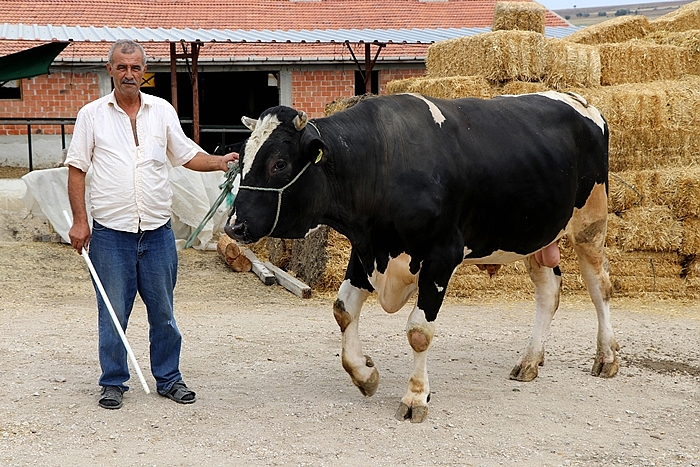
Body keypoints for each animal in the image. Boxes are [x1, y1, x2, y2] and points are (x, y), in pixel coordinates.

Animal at [225, 91, 619, 423]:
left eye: (278, 163)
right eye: (242, 159)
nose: (235, 225)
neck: (383, 159)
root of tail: (582, 102)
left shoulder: (440, 256)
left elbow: (418, 331)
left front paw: (416, 397)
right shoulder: (366, 250)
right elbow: (342, 310)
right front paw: (366, 374)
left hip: (591, 223)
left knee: (599, 287)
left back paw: (607, 357)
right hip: (535, 235)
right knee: (548, 291)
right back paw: (529, 362)